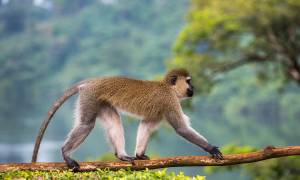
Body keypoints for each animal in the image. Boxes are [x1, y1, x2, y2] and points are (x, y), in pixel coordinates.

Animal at [32, 69, 223, 172]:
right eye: (189, 82)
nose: (193, 88)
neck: (168, 88)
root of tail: (93, 81)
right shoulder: (169, 101)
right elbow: (181, 129)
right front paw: (211, 148)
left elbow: (146, 124)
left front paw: (139, 154)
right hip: (90, 97)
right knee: (86, 125)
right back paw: (65, 152)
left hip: (100, 101)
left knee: (114, 121)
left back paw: (121, 155)